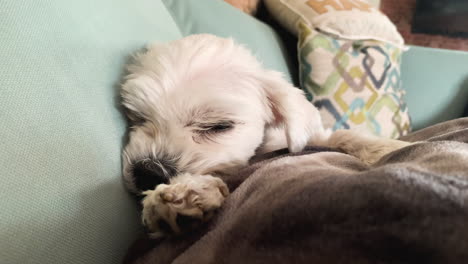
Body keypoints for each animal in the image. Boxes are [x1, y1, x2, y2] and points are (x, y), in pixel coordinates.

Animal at [119, 34, 410, 238]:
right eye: (138, 117)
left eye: (218, 126)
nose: (148, 171)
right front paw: (181, 195)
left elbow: (343, 137)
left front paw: (385, 148)